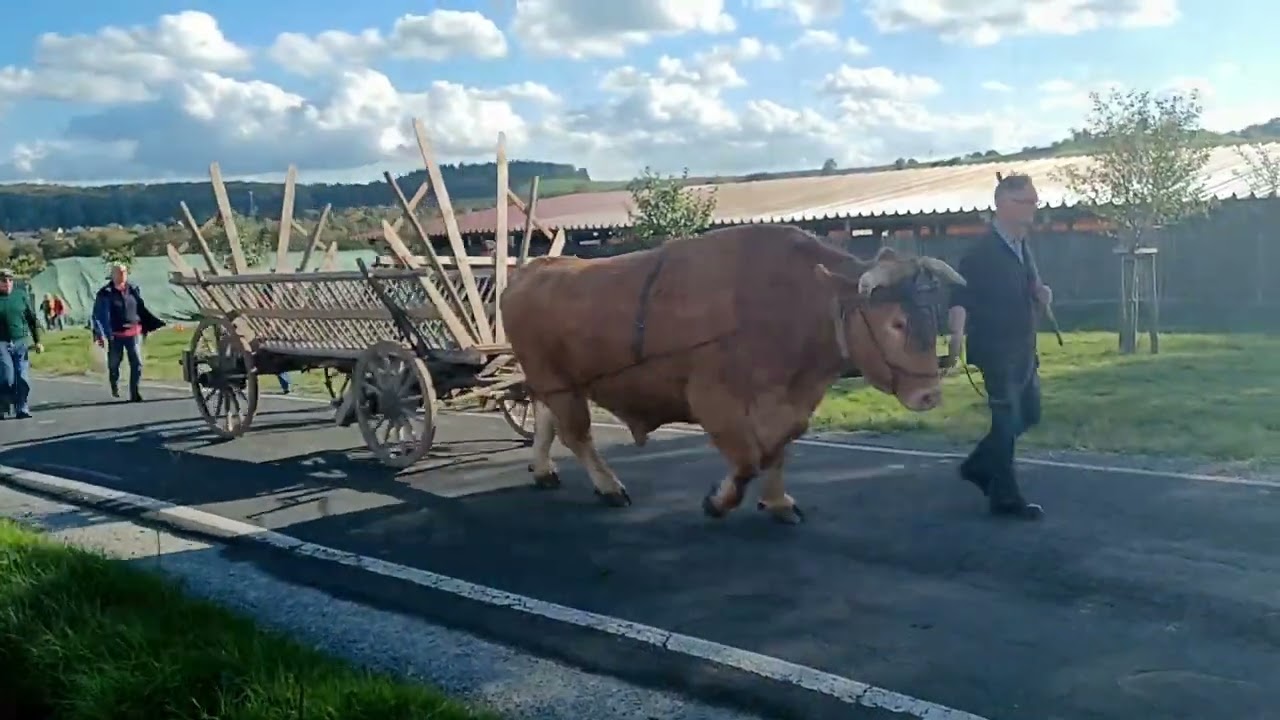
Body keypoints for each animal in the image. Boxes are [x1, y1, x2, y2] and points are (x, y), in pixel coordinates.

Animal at [499, 223, 965, 524]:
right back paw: (609, 486)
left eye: (933, 315)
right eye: (896, 323)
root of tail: (533, 269)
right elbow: (746, 461)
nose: (930, 394)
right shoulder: (713, 400)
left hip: (554, 380)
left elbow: (776, 451)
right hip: (556, 380)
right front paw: (718, 501)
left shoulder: (791, 405)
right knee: (576, 433)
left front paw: (777, 502)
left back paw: (544, 471)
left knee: (546, 419)